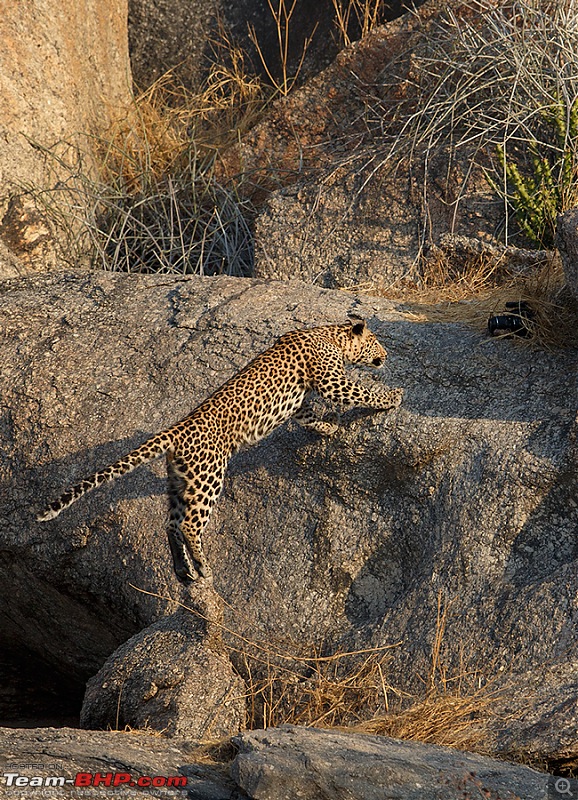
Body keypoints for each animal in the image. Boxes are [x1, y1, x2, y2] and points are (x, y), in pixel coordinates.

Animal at [39, 316, 400, 584]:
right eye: (376, 341)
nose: (386, 355)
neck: (332, 336)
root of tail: (176, 430)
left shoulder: (300, 404)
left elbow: (309, 416)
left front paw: (330, 427)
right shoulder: (330, 381)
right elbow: (359, 392)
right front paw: (392, 397)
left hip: (180, 483)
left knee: (170, 524)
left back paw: (184, 570)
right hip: (208, 477)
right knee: (189, 525)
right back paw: (204, 567)